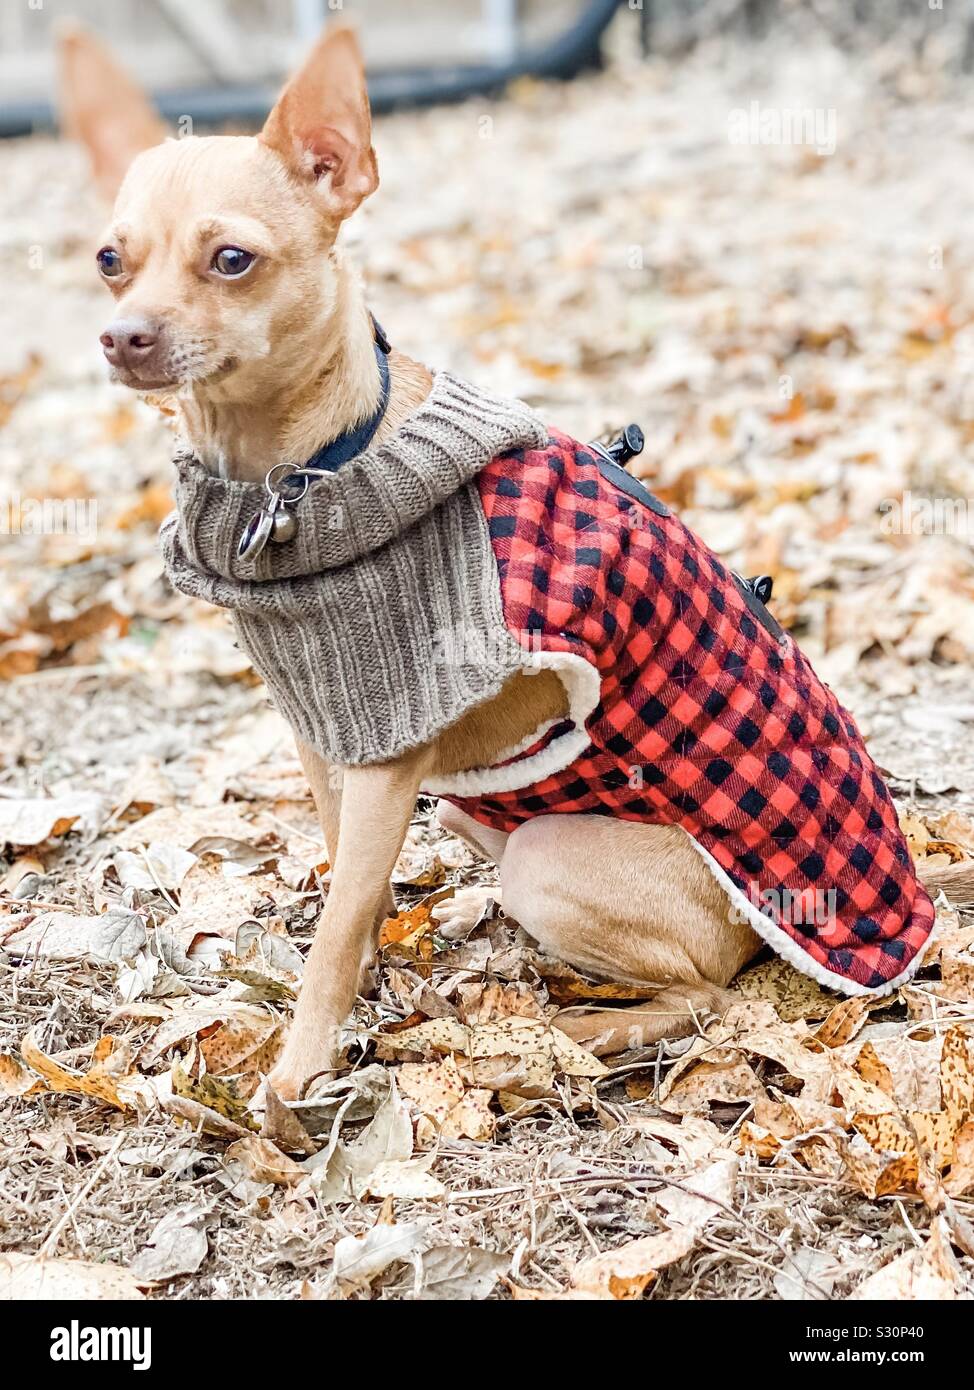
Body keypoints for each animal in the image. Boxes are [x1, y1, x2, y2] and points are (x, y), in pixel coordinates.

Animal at [77, 21, 967, 1095]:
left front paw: (295, 1075)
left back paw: (584, 1033)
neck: (308, 472)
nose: (122, 336)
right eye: (110, 259)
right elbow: (349, 889)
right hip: (484, 819)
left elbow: (333, 930)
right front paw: (366, 981)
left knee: (708, 1002)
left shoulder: (388, 761)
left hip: (545, 856)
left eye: (233, 259)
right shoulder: (328, 739)